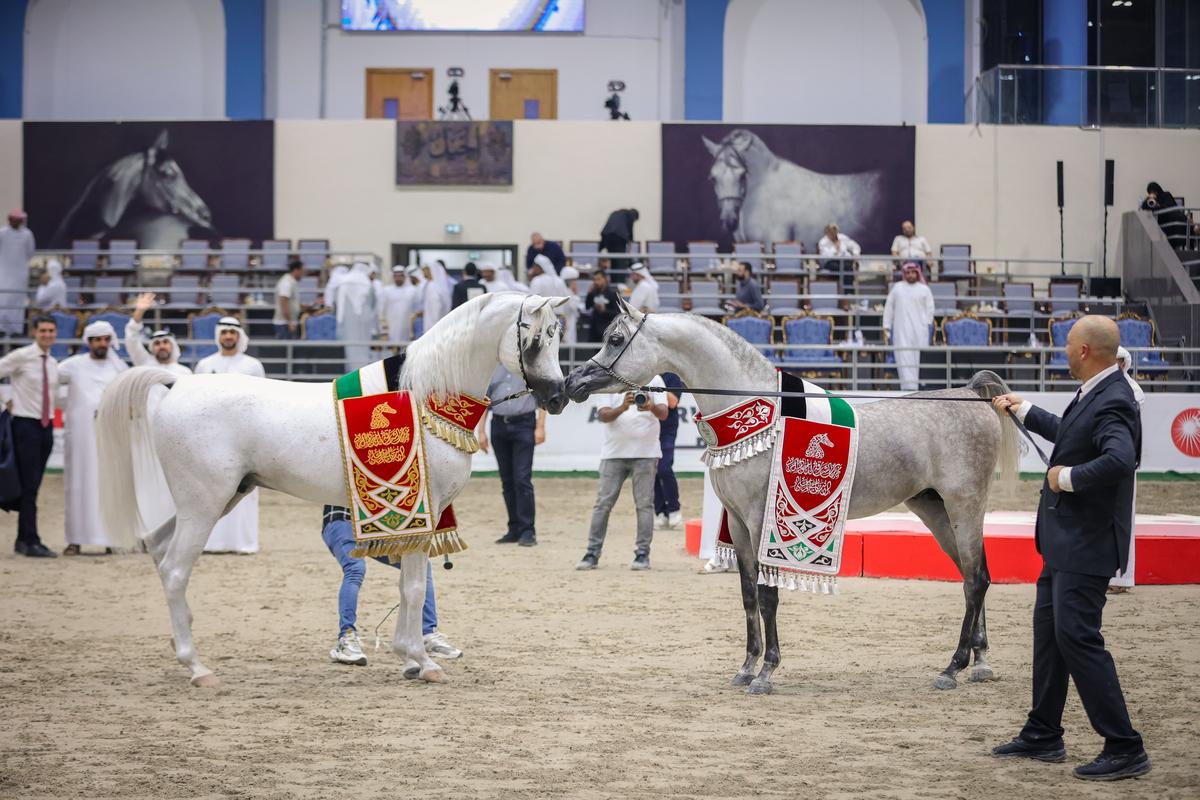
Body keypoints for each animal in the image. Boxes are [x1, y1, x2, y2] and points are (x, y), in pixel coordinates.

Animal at [96, 293, 571, 688]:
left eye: (558, 336)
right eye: (535, 339)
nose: (559, 397)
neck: (423, 399)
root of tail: (176, 384)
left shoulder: (414, 521)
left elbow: (409, 586)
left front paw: (409, 658)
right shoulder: (422, 512)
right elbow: (415, 589)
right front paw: (423, 662)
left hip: (218, 500)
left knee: (158, 552)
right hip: (203, 505)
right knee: (176, 570)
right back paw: (197, 668)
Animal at [564, 298, 1018, 695]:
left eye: (616, 339)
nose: (573, 382)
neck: (759, 413)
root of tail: (972, 394)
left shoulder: (763, 523)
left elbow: (769, 596)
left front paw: (766, 673)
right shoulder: (739, 526)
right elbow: (749, 594)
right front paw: (746, 668)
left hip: (964, 507)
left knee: (977, 579)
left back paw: (952, 667)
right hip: (935, 511)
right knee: (973, 578)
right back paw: (979, 664)